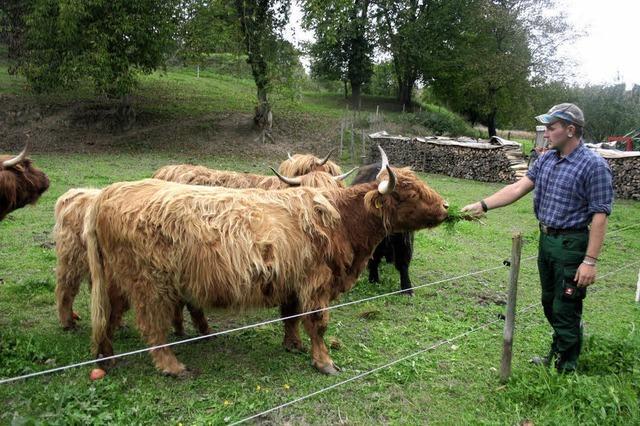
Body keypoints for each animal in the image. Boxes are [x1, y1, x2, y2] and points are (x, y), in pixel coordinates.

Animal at [85, 146, 448, 376]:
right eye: (409, 194)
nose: (445, 206)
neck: (343, 221)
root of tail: (108, 194)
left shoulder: (292, 281)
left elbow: (291, 316)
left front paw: (293, 345)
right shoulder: (316, 283)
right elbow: (318, 323)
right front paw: (324, 362)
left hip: (119, 280)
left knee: (109, 315)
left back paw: (107, 357)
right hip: (150, 284)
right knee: (150, 325)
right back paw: (173, 367)